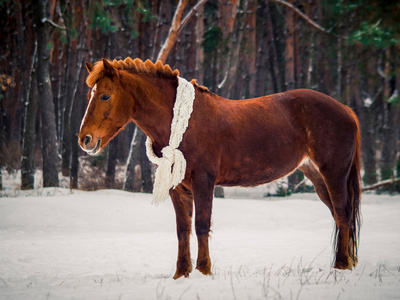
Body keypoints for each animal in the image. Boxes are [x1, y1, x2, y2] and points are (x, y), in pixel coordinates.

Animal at [79, 56, 362, 278]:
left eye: (105, 95)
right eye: (89, 95)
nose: (85, 139)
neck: (185, 123)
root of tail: (346, 110)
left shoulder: (204, 181)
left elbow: (201, 226)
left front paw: (204, 270)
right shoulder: (178, 189)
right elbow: (183, 230)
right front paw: (181, 273)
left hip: (334, 174)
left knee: (342, 214)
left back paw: (341, 266)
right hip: (317, 177)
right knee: (339, 215)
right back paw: (345, 262)